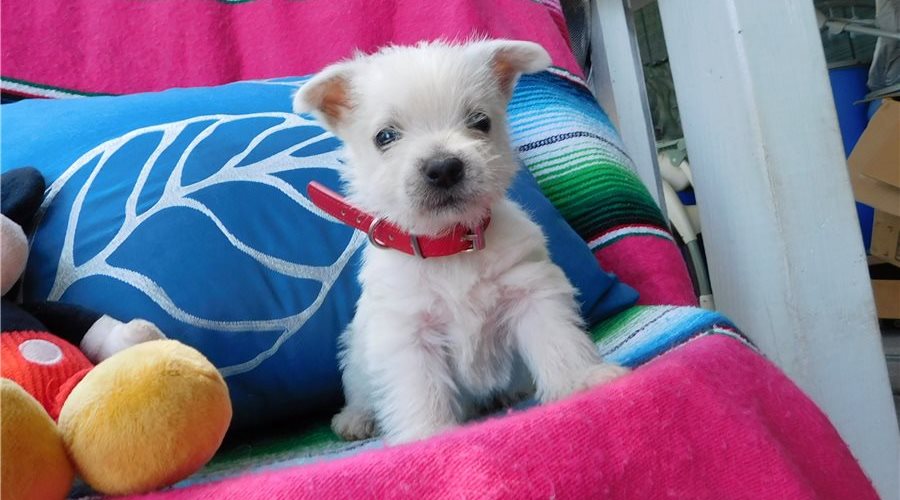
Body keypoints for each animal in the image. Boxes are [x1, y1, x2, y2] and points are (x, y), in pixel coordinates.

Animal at [296, 40, 624, 446]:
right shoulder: (408, 333)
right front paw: (427, 434)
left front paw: (582, 380)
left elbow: (557, 341)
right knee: (360, 392)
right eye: (385, 136)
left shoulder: (531, 293)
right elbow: (418, 389)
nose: (443, 168)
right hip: (357, 357)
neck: (452, 247)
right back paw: (356, 418)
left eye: (480, 121)